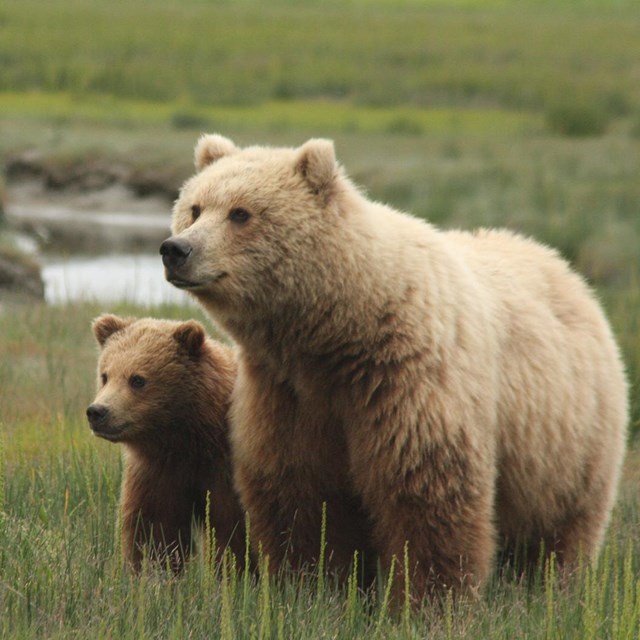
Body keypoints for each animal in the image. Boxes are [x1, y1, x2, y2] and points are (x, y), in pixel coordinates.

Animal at [87, 314, 247, 572]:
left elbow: (233, 531)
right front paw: (154, 571)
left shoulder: (225, 471)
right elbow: (155, 531)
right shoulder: (159, 472)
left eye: (137, 379)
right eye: (105, 375)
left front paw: (232, 572)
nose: (97, 412)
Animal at [160, 134, 628, 602]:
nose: (176, 249)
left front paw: (430, 599)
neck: (335, 336)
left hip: (568, 438)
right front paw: (310, 588)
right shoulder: (287, 394)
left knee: (561, 530)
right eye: (195, 208)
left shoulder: (406, 382)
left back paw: (554, 587)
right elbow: (299, 495)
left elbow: (425, 496)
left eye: (241, 213)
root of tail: (566, 269)